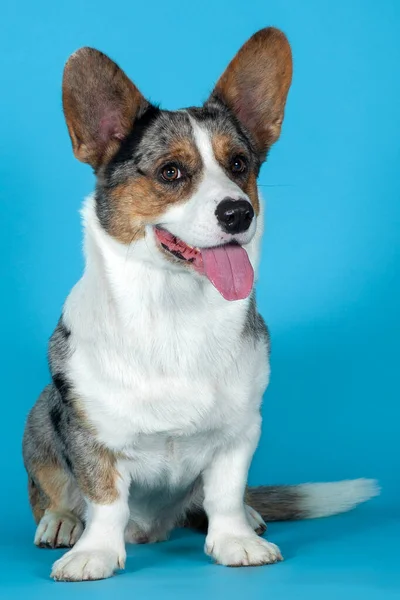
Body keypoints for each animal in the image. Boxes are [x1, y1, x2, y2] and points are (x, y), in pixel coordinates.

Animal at [21, 28, 378, 580]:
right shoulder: (92, 433)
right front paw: (94, 552)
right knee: (54, 490)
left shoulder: (240, 430)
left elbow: (225, 492)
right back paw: (62, 522)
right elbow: (104, 498)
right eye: (171, 172)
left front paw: (235, 541)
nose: (239, 212)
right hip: (40, 416)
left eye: (240, 166)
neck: (174, 309)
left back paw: (249, 517)